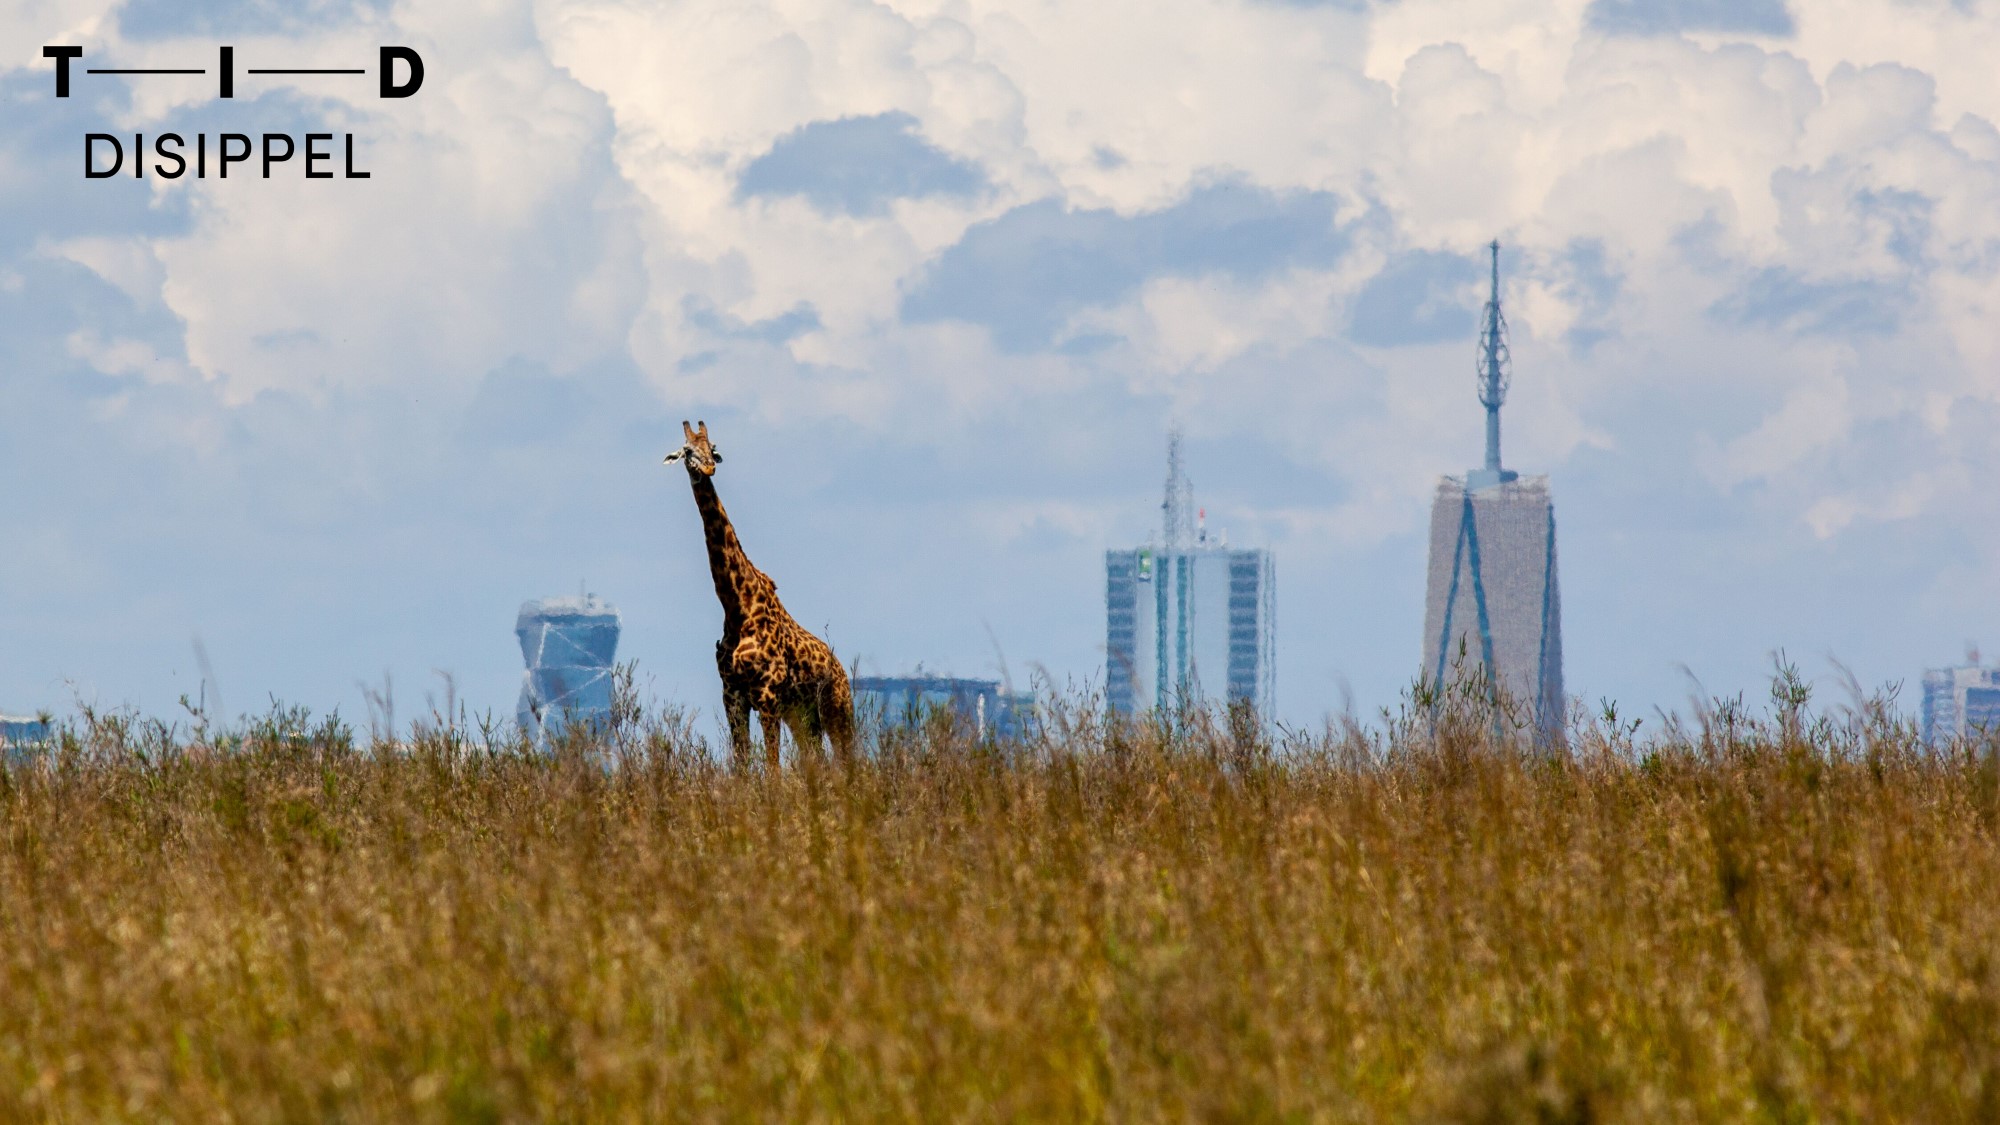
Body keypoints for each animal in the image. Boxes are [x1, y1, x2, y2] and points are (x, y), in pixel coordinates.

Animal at [668, 416, 856, 764]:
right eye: (687, 451)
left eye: (713, 447)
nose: (708, 468)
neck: (736, 606)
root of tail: (840, 668)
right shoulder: (732, 695)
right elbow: (742, 764)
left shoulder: (768, 695)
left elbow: (772, 767)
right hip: (803, 716)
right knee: (816, 760)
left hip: (837, 708)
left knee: (847, 758)